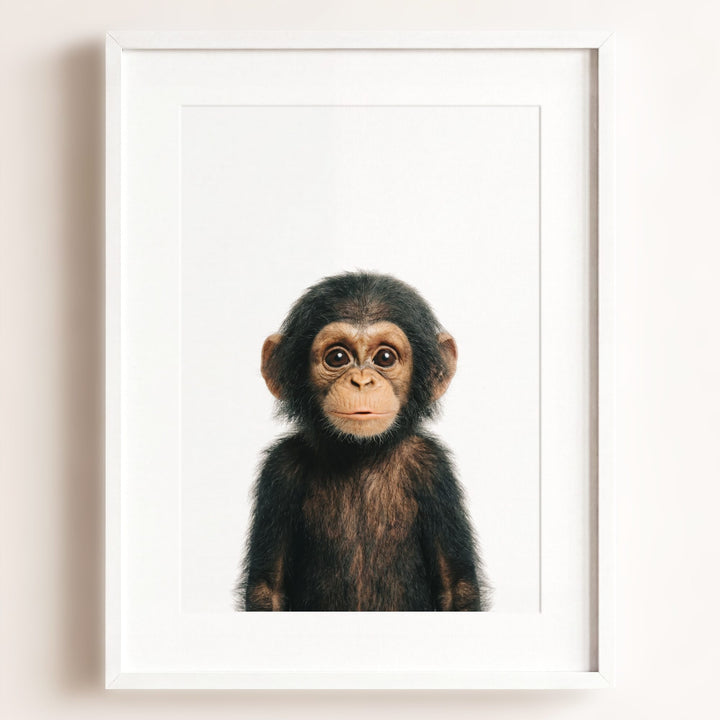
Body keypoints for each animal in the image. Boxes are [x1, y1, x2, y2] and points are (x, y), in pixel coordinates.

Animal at [236, 271, 490, 611]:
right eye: (337, 357)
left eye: (384, 357)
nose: (361, 381)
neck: (360, 453)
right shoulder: (279, 469)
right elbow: (267, 588)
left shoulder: (434, 467)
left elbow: (457, 587)